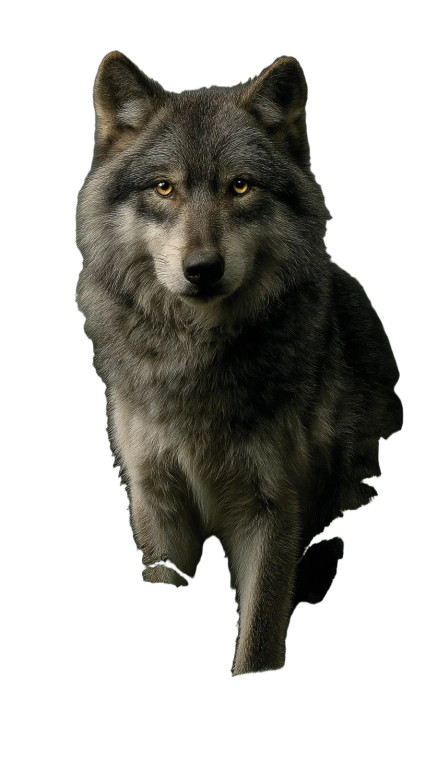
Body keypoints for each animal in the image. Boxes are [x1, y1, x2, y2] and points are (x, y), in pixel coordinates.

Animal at [76, 51, 402, 675]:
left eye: (240, 185)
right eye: (164, 187)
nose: (203, 269)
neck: (194, 363)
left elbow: (256, 646)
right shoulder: (156, 508)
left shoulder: (272, 514)